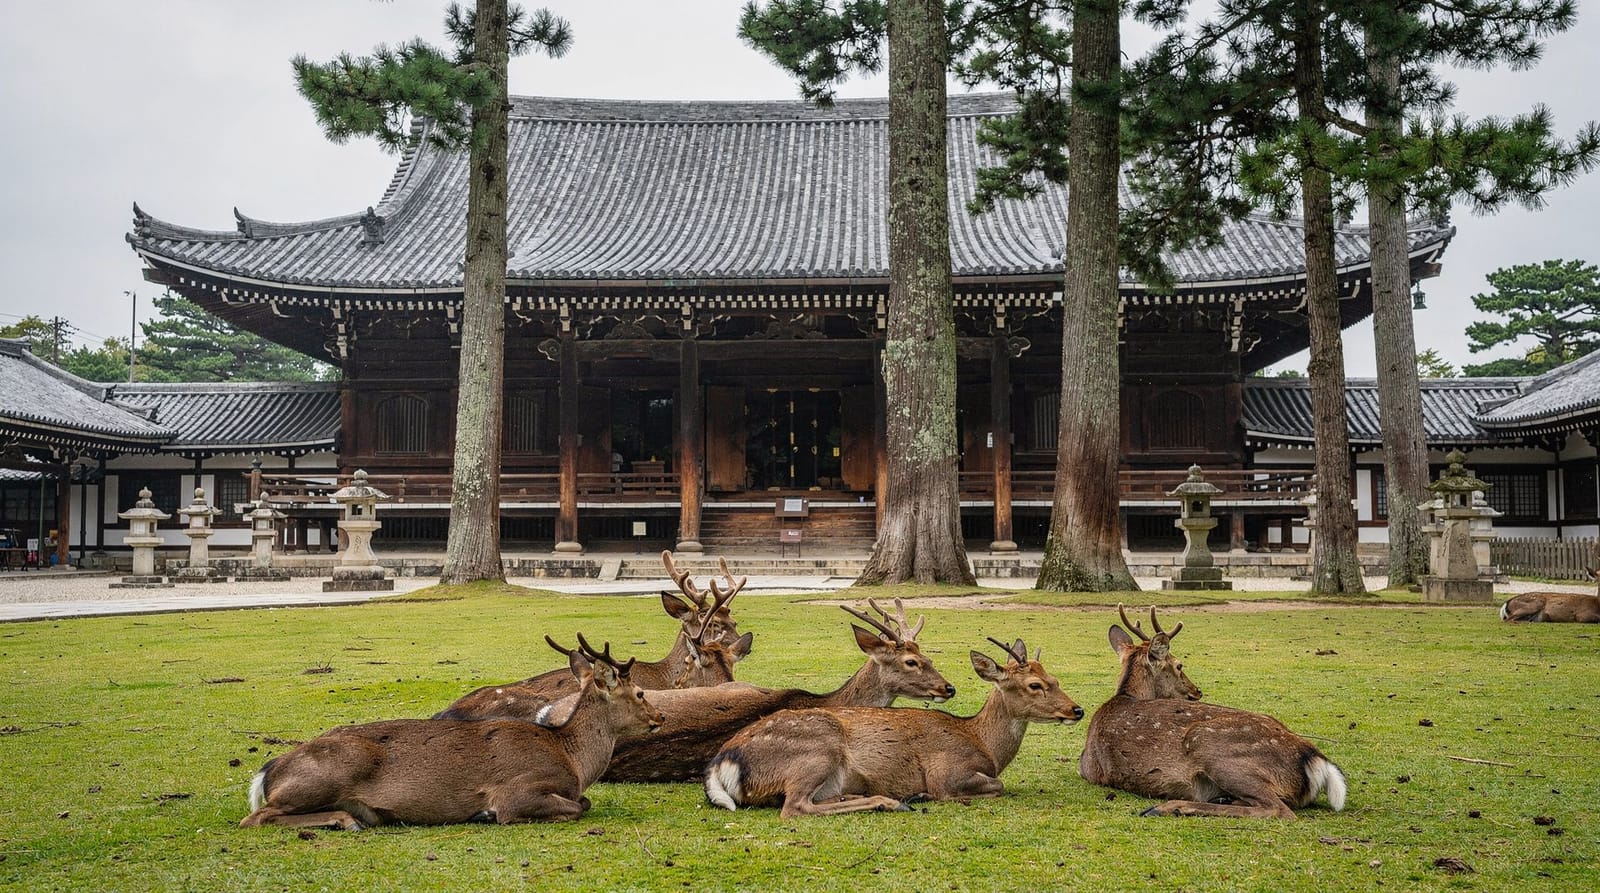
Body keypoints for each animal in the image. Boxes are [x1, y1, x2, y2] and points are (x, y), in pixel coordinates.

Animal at [241, 635, 663, 829]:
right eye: (640, 692)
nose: (659, 716)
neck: (572, 760)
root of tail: (267, 771)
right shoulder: (518, 790)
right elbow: (578, 807)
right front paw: (485, 813)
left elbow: (585, 802)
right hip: (322, 778)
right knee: (255, 817)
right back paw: (345, 821)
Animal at [704, 636, 1082, 818]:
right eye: (1035, 685)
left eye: (1055, 678)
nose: (1077, 709)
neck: (983, 744)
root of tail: (722, 762)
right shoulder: (946, 771)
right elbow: (997, 786)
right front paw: (921, 793)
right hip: (818, 750)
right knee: (795, 807)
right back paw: (891, 802)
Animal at [1078, 606, 1346, 819]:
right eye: (1179, 665)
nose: (1197, 691)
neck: (1123, 697)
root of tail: (1315, 759)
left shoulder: (1089, 769)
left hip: (1212, 747)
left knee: (1278, 809)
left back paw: (1169, 807)